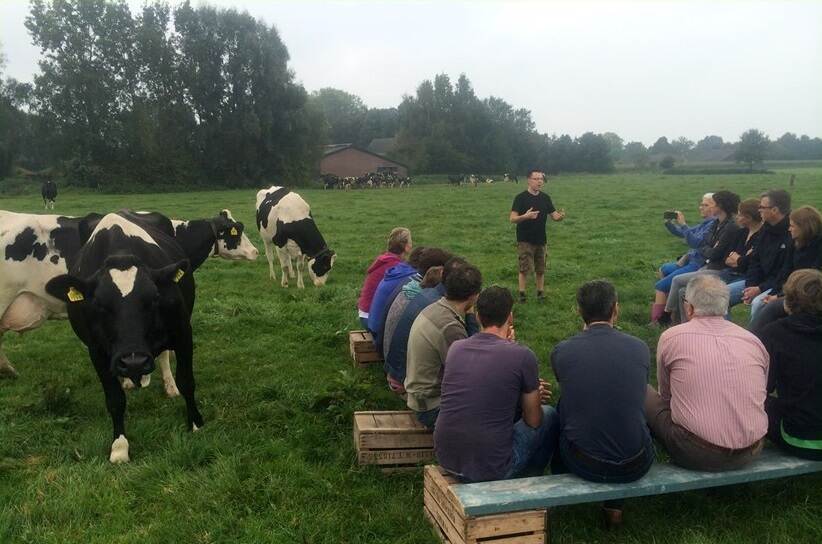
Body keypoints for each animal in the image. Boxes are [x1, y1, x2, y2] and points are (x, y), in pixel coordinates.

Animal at [45, 212, 202, 464]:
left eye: (154, 298)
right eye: (99, 304)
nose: (134, 361)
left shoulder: (182, 332)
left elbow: (187, 380)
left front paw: (196, 424)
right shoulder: (96, 350)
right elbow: (114, 400)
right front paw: (119, 446)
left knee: (163, 357)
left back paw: (164, 384)